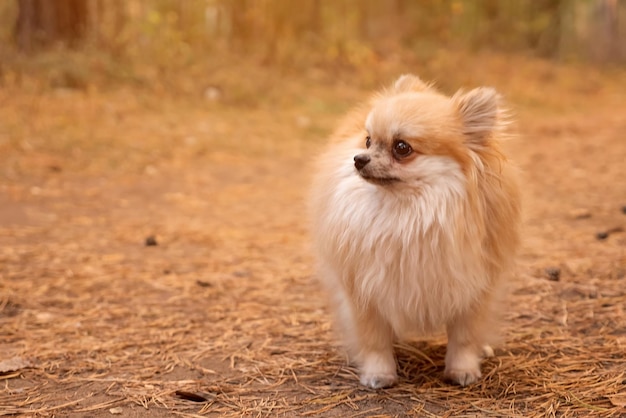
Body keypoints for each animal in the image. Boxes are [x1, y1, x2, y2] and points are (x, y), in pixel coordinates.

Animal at [308, 74, 516, 388]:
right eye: (368, 140)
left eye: (402, 147)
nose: (359, 158)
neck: (409, 214)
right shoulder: (364, 290)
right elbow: (375, 340)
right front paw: (379, 374)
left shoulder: (475, 287)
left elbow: (464, 337)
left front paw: (463, 369)